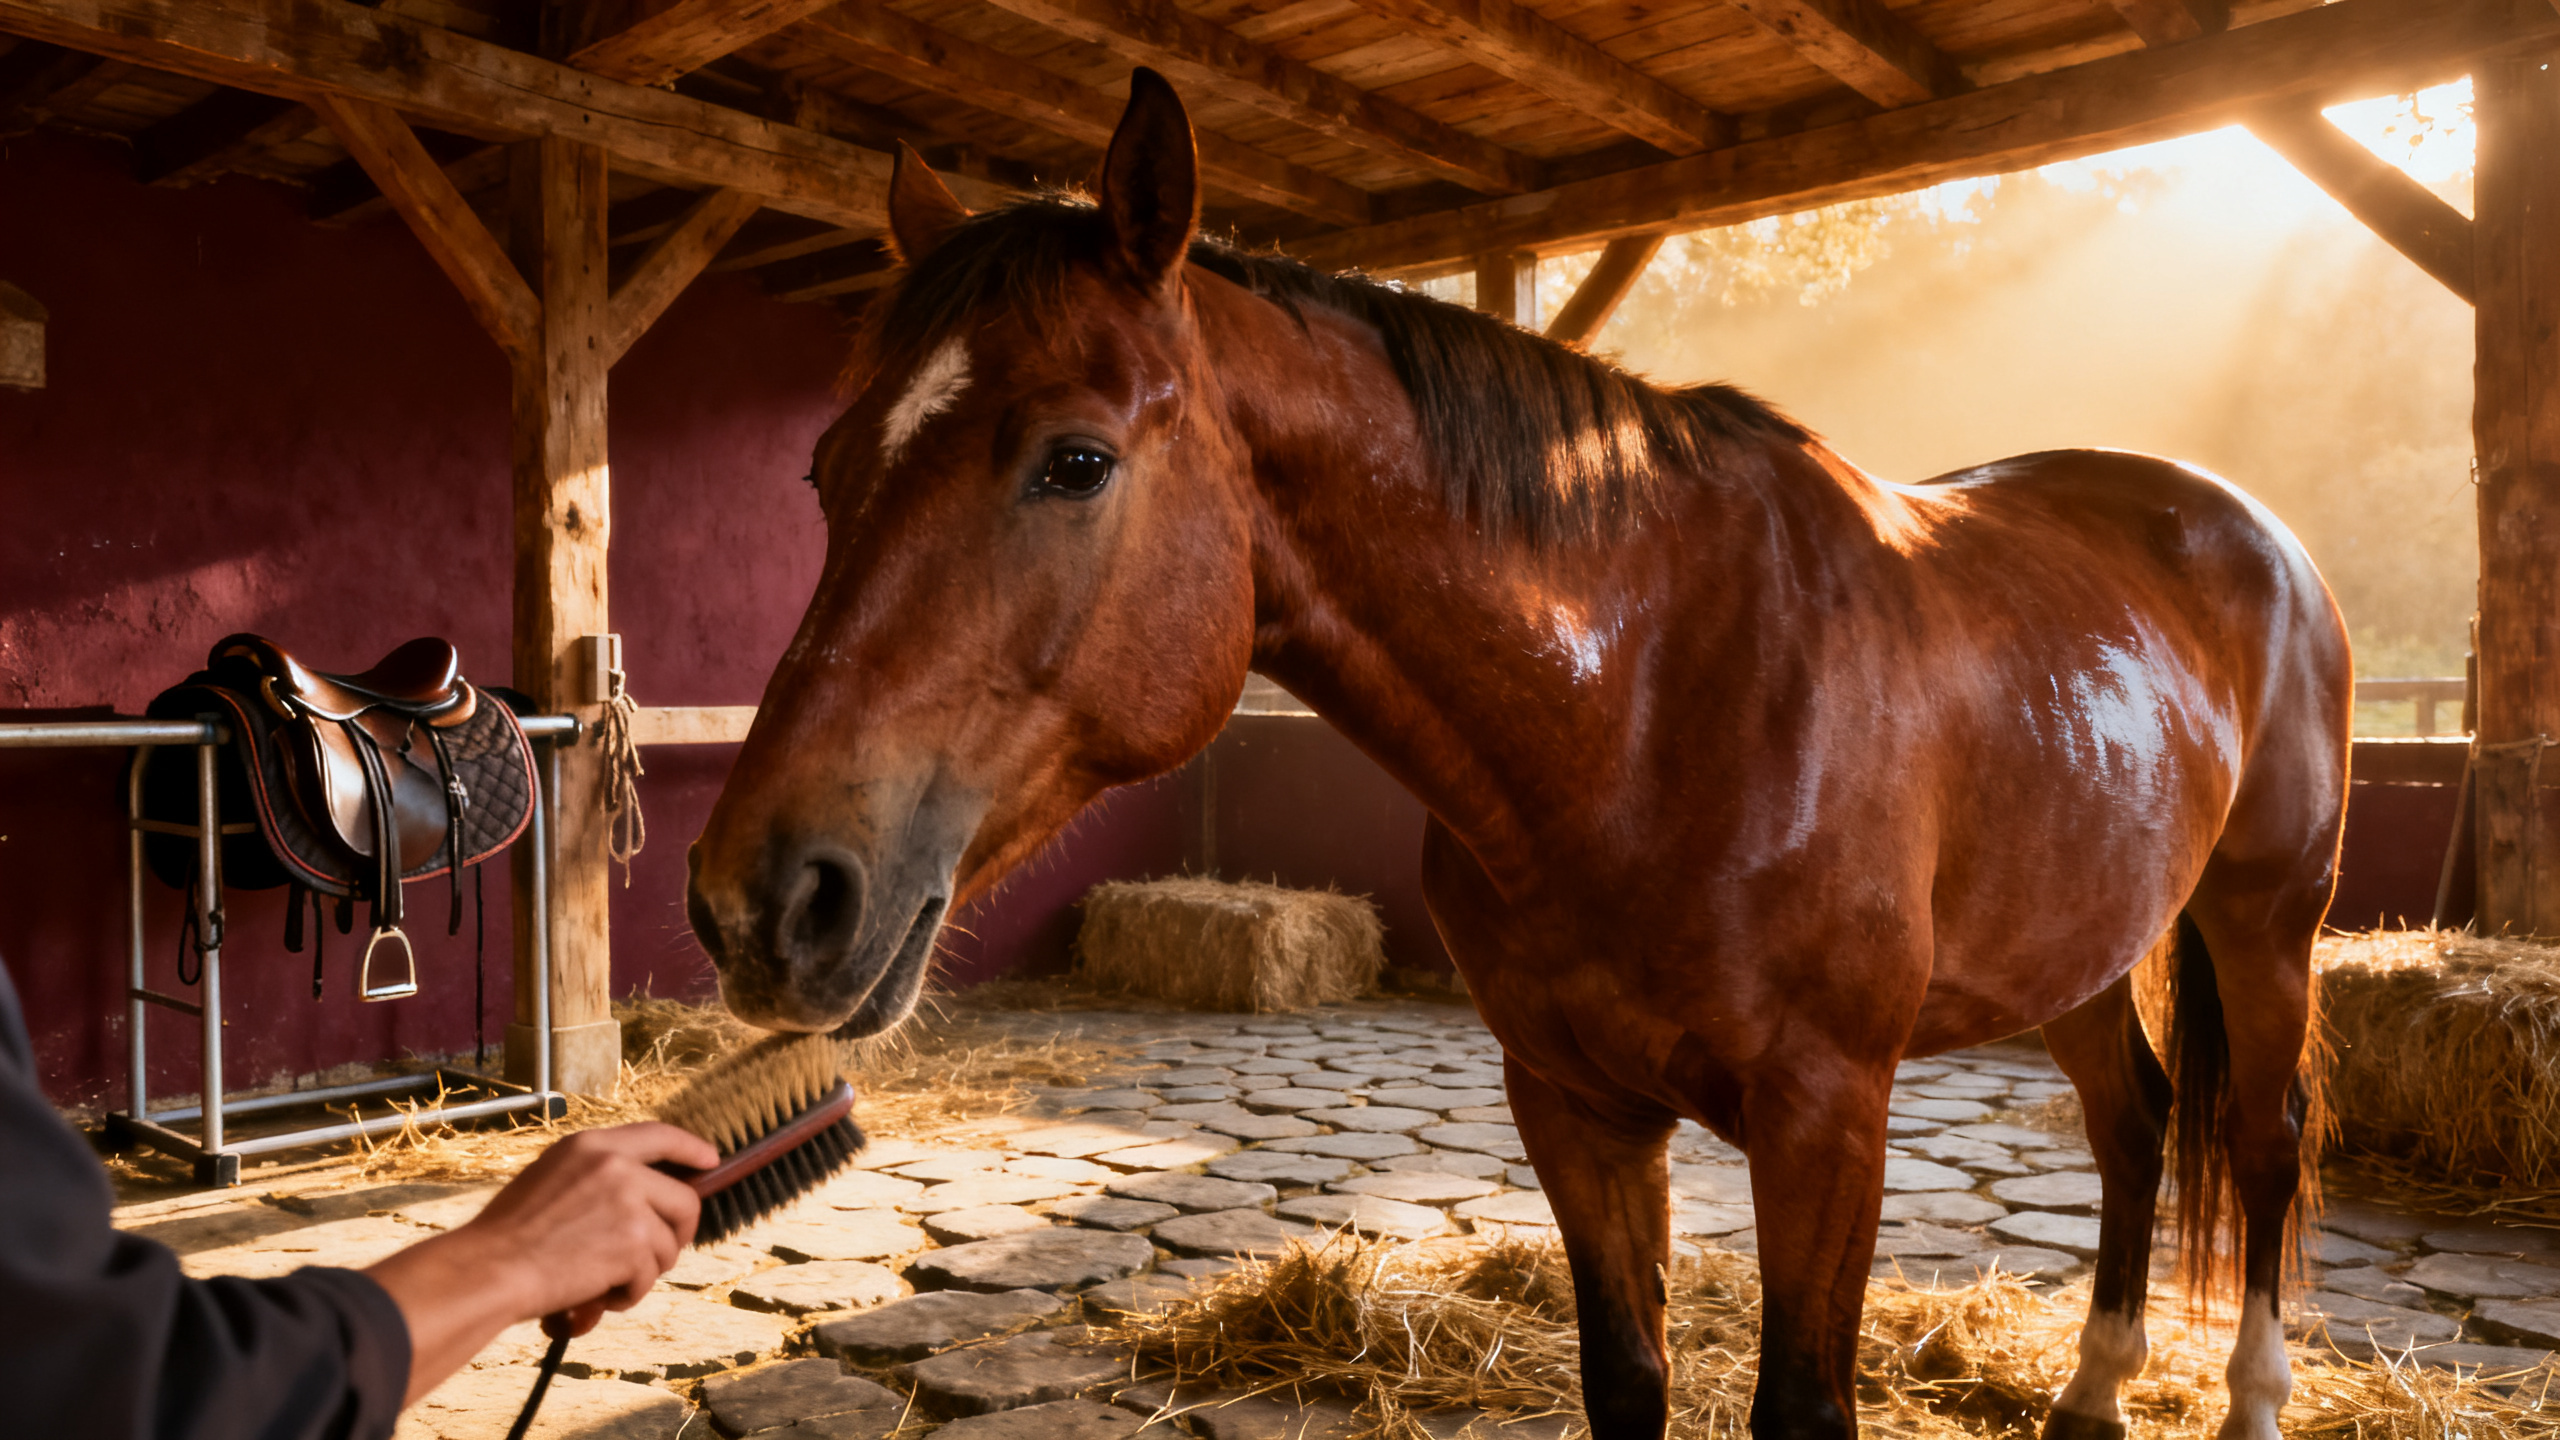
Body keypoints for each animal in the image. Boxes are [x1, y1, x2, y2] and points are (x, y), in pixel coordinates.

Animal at [685, 69, 2348, 1440]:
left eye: (1075, 460)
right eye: (824, 471)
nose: (760, 901)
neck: (1650, 705)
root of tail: (2249, 534)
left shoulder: (1828, 1117)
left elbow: (1803, 1410)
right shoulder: (1573, 1104)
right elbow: (1629, 1381)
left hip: (2265, 922)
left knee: (2258, 1141)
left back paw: (2253, 1401)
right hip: (2073, 949)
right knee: (2133, 1124)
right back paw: (2093, 1392)